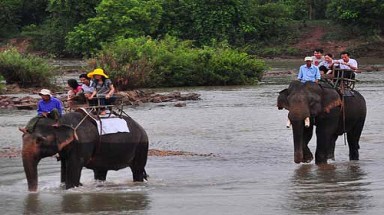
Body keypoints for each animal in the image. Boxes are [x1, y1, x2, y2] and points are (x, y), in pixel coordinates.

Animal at [19, 111, 149, 191]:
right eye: (22, 137)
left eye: (39, 140)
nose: (33, 193)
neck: (61, 121)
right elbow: (64, 166)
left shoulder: (82, 144)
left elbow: (74, 167)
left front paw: (72, 187)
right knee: (100, 171)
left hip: (142, 145)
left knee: (137, 170)